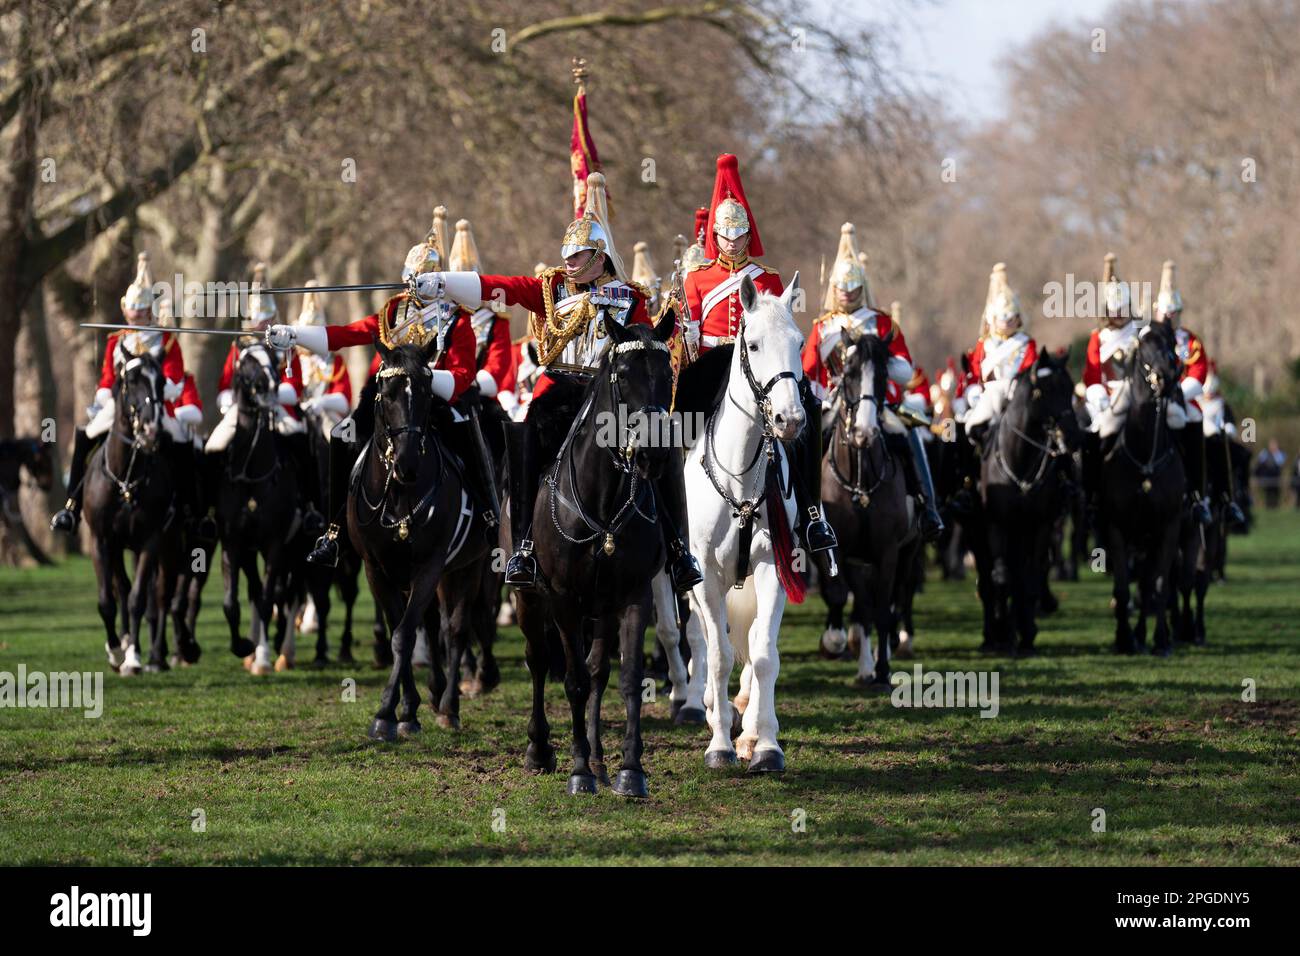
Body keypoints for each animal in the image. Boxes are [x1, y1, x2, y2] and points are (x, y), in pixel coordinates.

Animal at [512, 314, 676, 801]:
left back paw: (602, 759)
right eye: (623, 375)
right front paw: (579, 770)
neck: (603, 500)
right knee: (539, 660)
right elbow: (573, 680)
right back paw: (541, 750)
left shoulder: (634, 595)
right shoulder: (564, 599)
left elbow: (626, 678)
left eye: (668, 375)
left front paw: (630, 770)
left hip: (602, 607)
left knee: (599, 669)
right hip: (531, 599)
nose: (653, 454)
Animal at [972, 348, 1081, 655]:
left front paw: (1026, 634)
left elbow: (1029, 578)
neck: (1018, 463)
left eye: (1070, 387)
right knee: (992, 578)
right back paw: (994, 633)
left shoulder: (1040, 525)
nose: (1073, 437)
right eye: (1043, 390)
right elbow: (1001, 577)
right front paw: (1003, 632)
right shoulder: (997, 524)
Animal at [1097, 325, 1190, 655]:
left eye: (1171, 343)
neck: (1146, 456)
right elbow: (1123, 588)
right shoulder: (1116, 528)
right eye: (1144, 345)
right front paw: (1124, 639)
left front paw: (1160, 639)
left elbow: (1159, 587)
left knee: (1152, 583)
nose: (1166, 378)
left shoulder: (1169, 527)